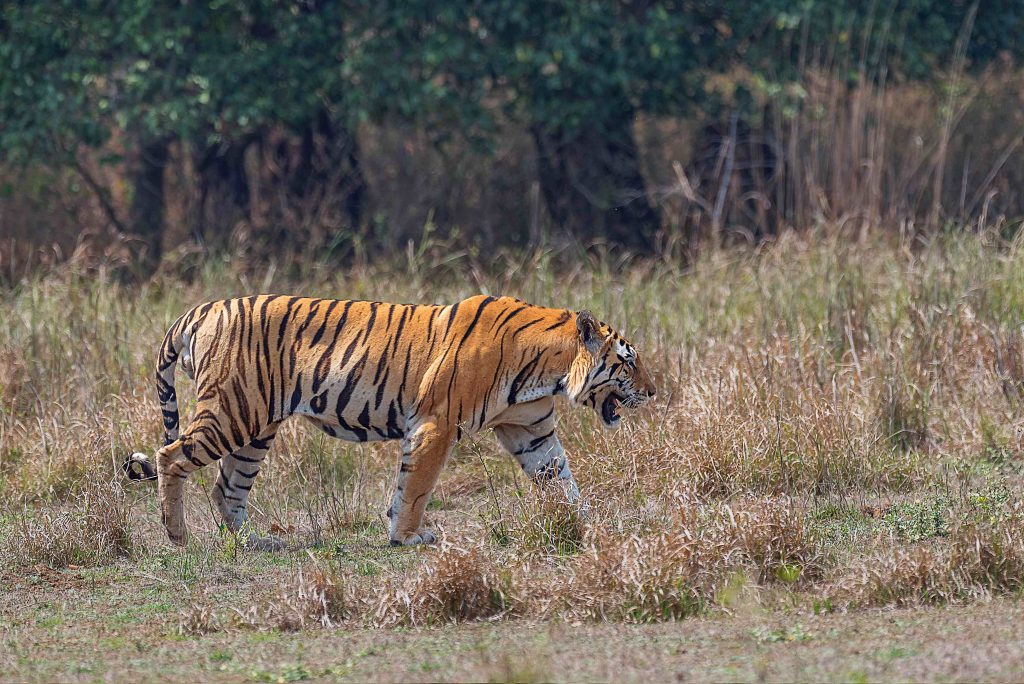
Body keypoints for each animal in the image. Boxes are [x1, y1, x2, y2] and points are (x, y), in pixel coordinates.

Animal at [128, 292, 655, 544]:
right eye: (628, 361)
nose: (652, 392)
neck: (549, 369)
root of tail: (202, 308)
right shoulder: (436, 423)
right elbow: (416, 487)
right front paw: (408, 536)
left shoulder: (531, 430)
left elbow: (563, 482)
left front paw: (590, 527)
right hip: (231, 411)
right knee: (170, 455)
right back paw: (177, 535)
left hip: (256, 426)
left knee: (226, 486)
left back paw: (253, 542)